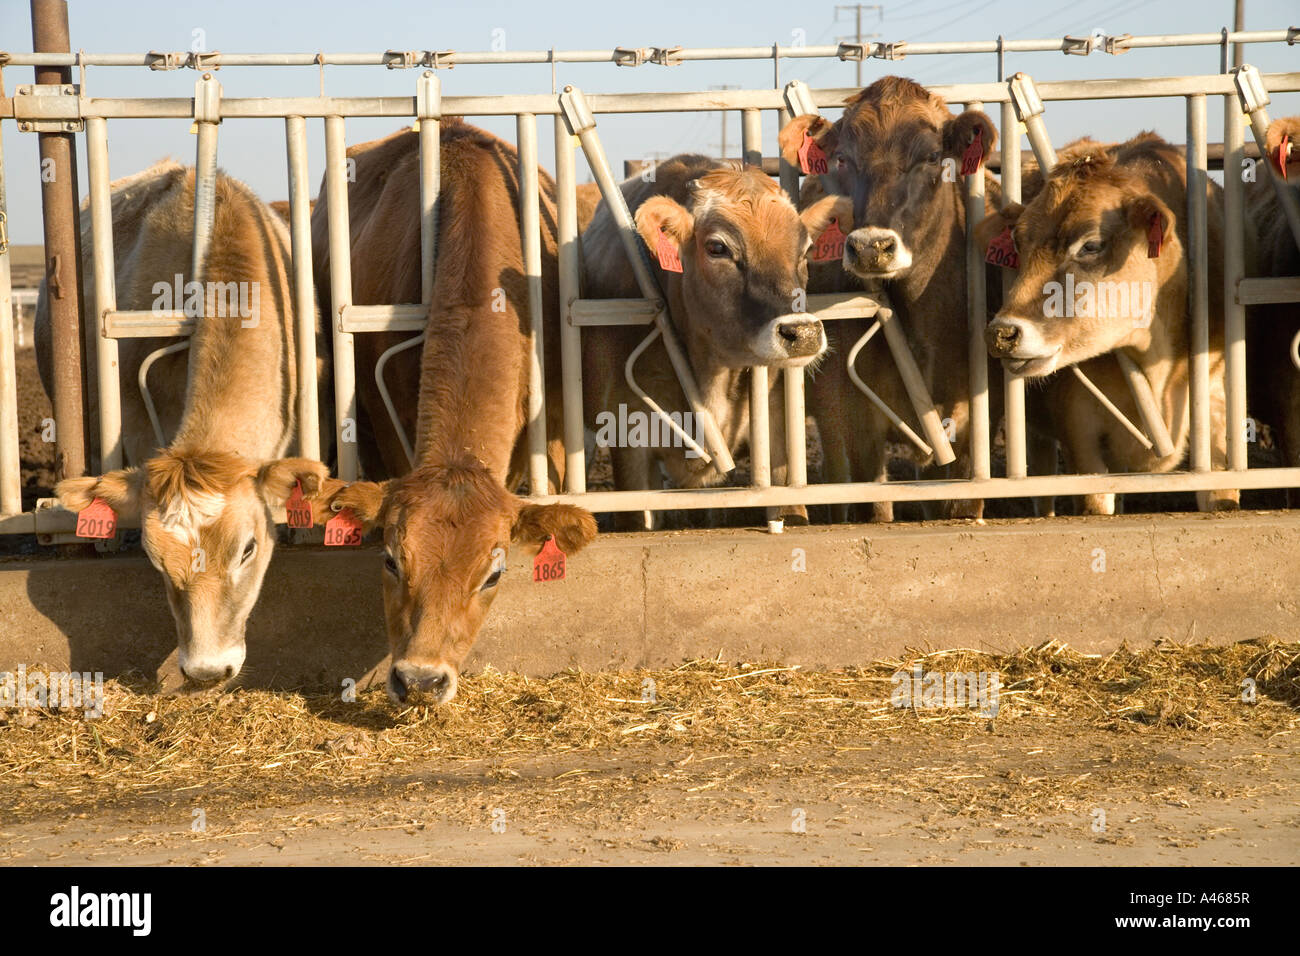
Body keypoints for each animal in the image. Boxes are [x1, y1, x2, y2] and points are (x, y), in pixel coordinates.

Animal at [779, 76, 1004, 522]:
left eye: (932, 156)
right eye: (843, 158)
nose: (871, 247)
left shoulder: (976, 415)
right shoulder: (850, 417)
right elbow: (873, 498)